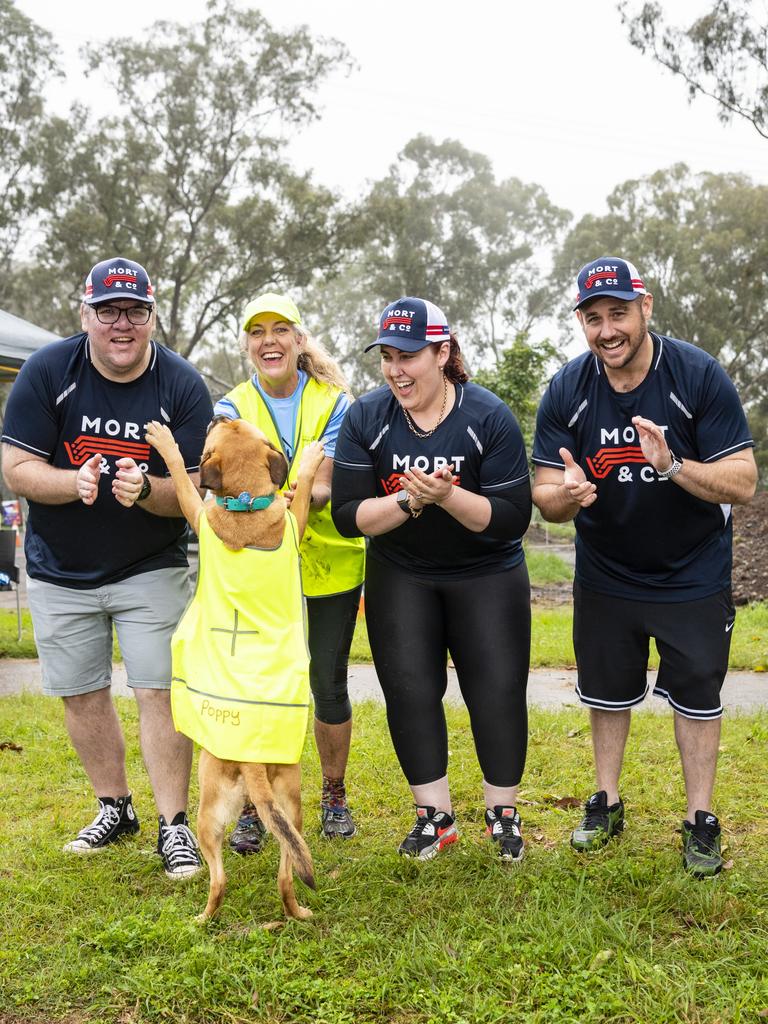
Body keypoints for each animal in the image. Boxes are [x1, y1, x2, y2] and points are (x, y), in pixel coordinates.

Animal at [147, 411, 325, 925]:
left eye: (217, 433)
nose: (220, 412)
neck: (247, 504)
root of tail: (250, 758)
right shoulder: (292, 517)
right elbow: (301, 490)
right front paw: (310, 461)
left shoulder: (196, 510)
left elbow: (184, 481)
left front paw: (165, 442)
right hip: (289, 809)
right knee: (284, 877)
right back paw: (295, 912)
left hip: (211, 815)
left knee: (219, 879)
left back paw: (203, 918)